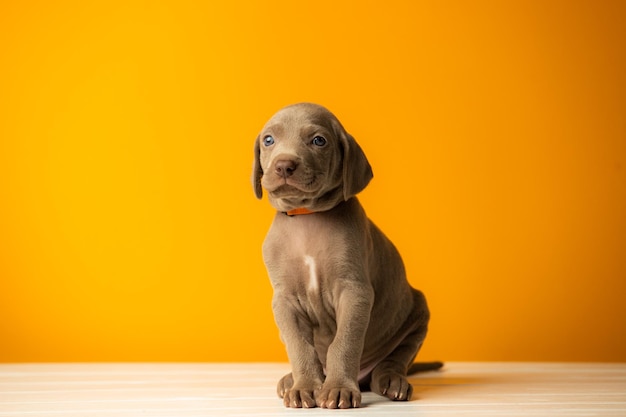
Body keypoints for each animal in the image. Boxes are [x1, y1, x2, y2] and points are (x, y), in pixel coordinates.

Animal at [251, 102, 442, 408]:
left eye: (319, 141)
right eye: (268, 140)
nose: (283, 165)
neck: (307, 215)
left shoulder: (354, 291)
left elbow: (344, 343)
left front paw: (339, 388)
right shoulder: (284, 301)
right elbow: (299, 346)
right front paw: (304, 386)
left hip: (417, 315)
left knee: (394, 361)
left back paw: (393, 382)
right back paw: (290, 380)